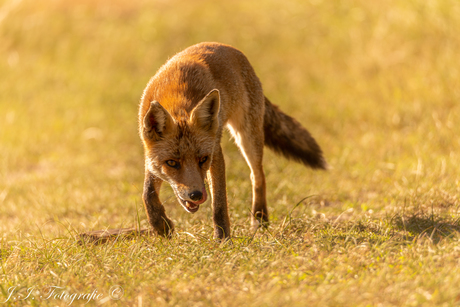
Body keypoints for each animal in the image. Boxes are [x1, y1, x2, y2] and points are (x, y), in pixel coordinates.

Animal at [138, 42, 326, 239]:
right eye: (172, 163)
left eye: (203, 159)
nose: (196, 195)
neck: (177, 101)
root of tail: (227, 47)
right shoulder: (150, 155)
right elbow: (148, 193)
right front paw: (160, 225)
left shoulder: (215, 152)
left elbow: (219, 203)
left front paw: (222, 238)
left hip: (247, 137)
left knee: (258, 176)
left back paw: (259, 219)